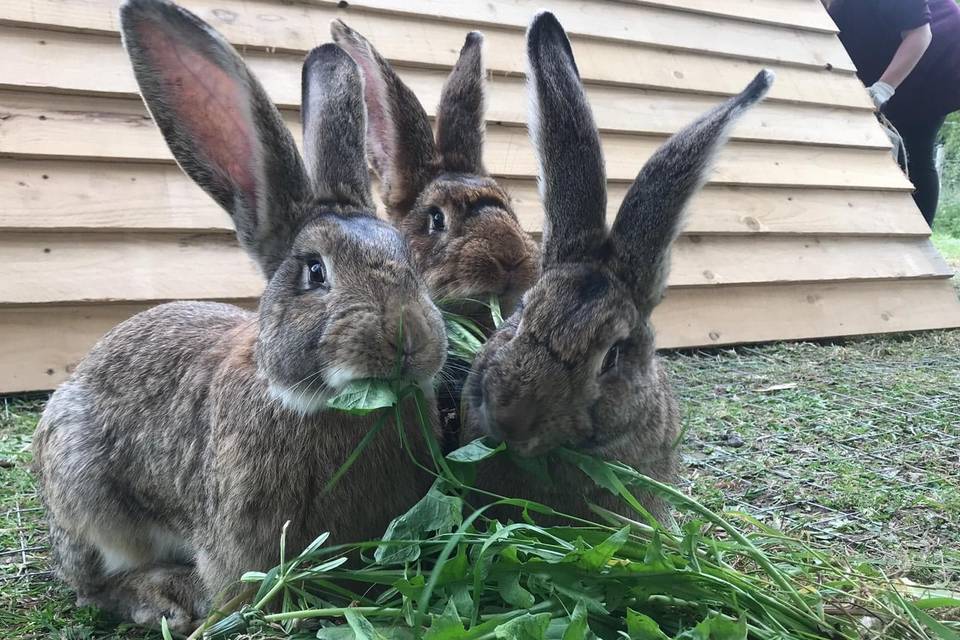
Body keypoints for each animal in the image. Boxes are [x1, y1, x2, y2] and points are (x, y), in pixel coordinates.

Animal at [32, 0, 446, 632]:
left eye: (408, 257)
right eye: (315, 271)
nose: (410, 339)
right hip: (86, 496)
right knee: (93, 584)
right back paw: (163, 598)